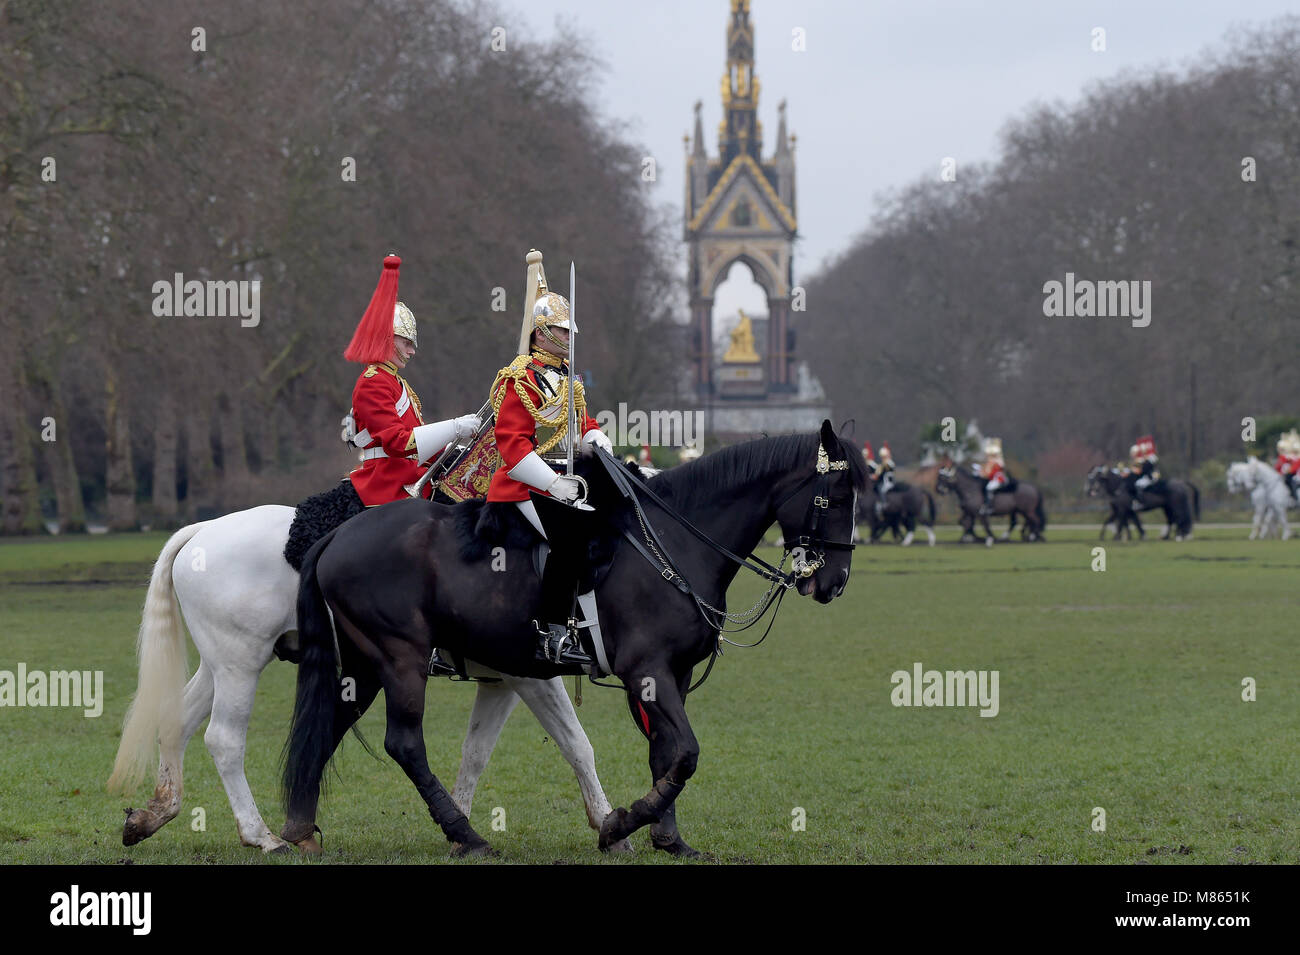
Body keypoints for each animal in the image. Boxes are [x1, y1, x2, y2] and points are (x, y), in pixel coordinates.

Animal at [106, 504, 624, 857]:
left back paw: (155, 814)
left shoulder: (500, 682)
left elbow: (476, 754)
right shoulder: (528, 676)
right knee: (224, 739)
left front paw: (460, 824)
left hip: (220, 667)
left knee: (176, 724)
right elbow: (578, 745)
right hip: (242, 665)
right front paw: (608, 825)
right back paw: (262, 836)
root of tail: (203, 530)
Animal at [280, 420, 863, 857]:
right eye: (834, 498)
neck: (671, 541)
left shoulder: (666, 675)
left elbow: (664, 753)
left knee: (327, 726)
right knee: (403, 743)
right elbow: (685, 753)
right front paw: (621, 824)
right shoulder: (645, 671)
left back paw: (299, 830)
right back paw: (465, 834)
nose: (834, 583)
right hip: (400, 660)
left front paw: (666, 838)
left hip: (364, 666)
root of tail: (339, 533)